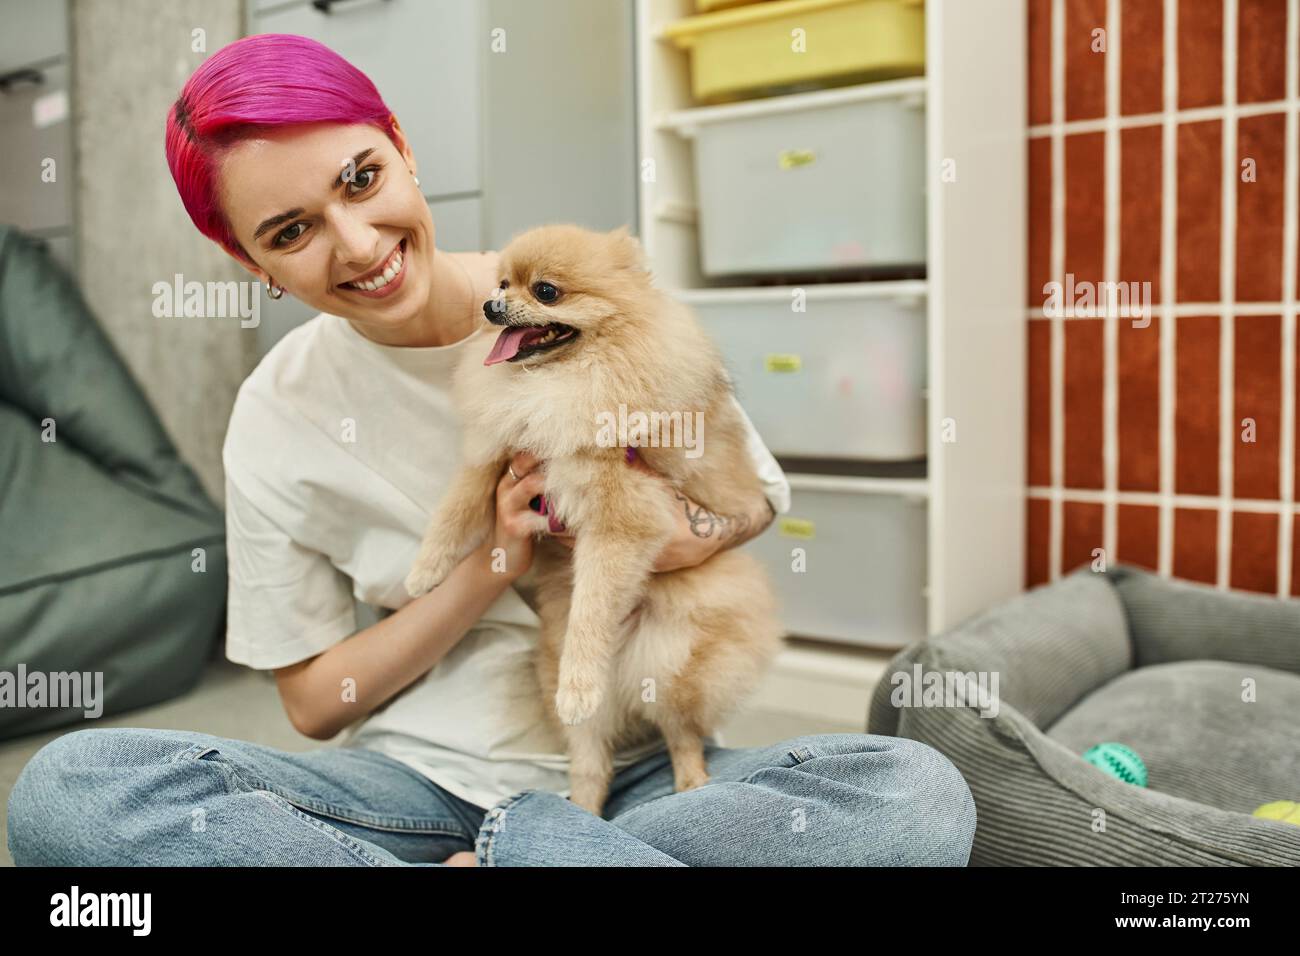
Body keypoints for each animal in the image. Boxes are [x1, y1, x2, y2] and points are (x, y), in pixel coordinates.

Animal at [403, 222, 780, 816]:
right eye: (502, 282)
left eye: (546, 292)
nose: (489, 306)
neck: (558, 382)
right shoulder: (501, 451)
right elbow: (457, 505)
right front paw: (425, 572)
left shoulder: (621, 517)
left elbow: (591, 611)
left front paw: (579, 684)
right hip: (558, 670)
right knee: (590, 761)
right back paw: (580, 808)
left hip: (674, 661)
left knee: (681, 730)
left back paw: (689, 779)